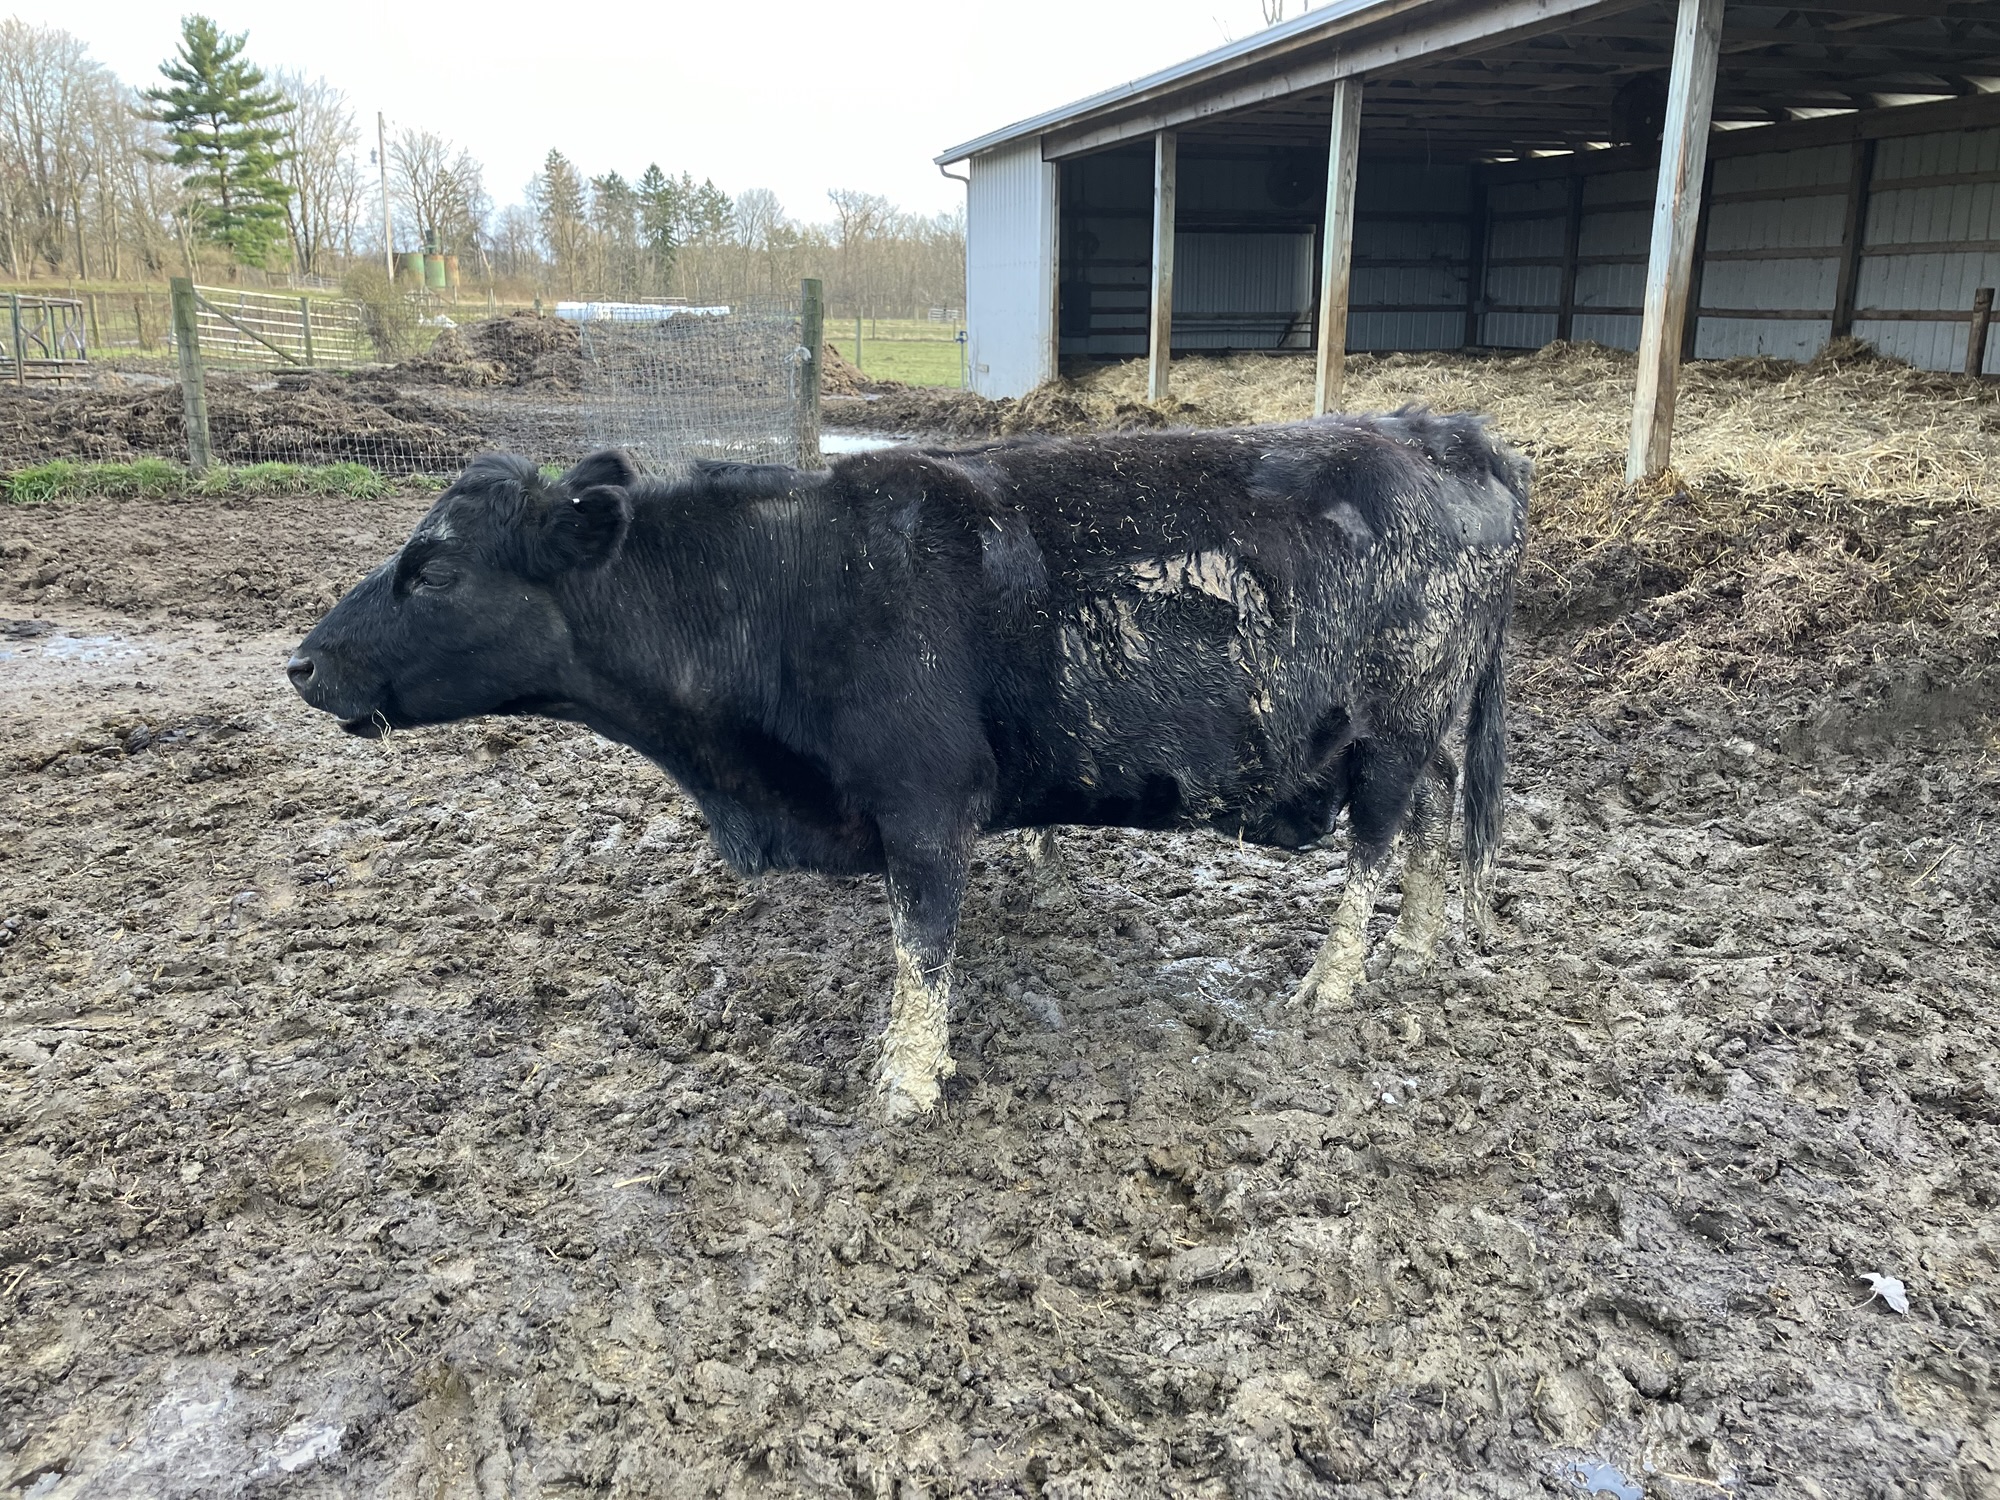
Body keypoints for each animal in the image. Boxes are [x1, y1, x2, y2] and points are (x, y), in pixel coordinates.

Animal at [287, 413, 1529, 1120]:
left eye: (434, 570)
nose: (301, 661)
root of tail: (1442, 436)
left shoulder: (927, 804)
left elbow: (918, 951)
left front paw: (903, 1083)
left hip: (1391, 722)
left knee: (1376, 842)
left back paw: (1334, 981)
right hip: (1427, 722)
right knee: (1429, 824)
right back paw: (1414, 951)